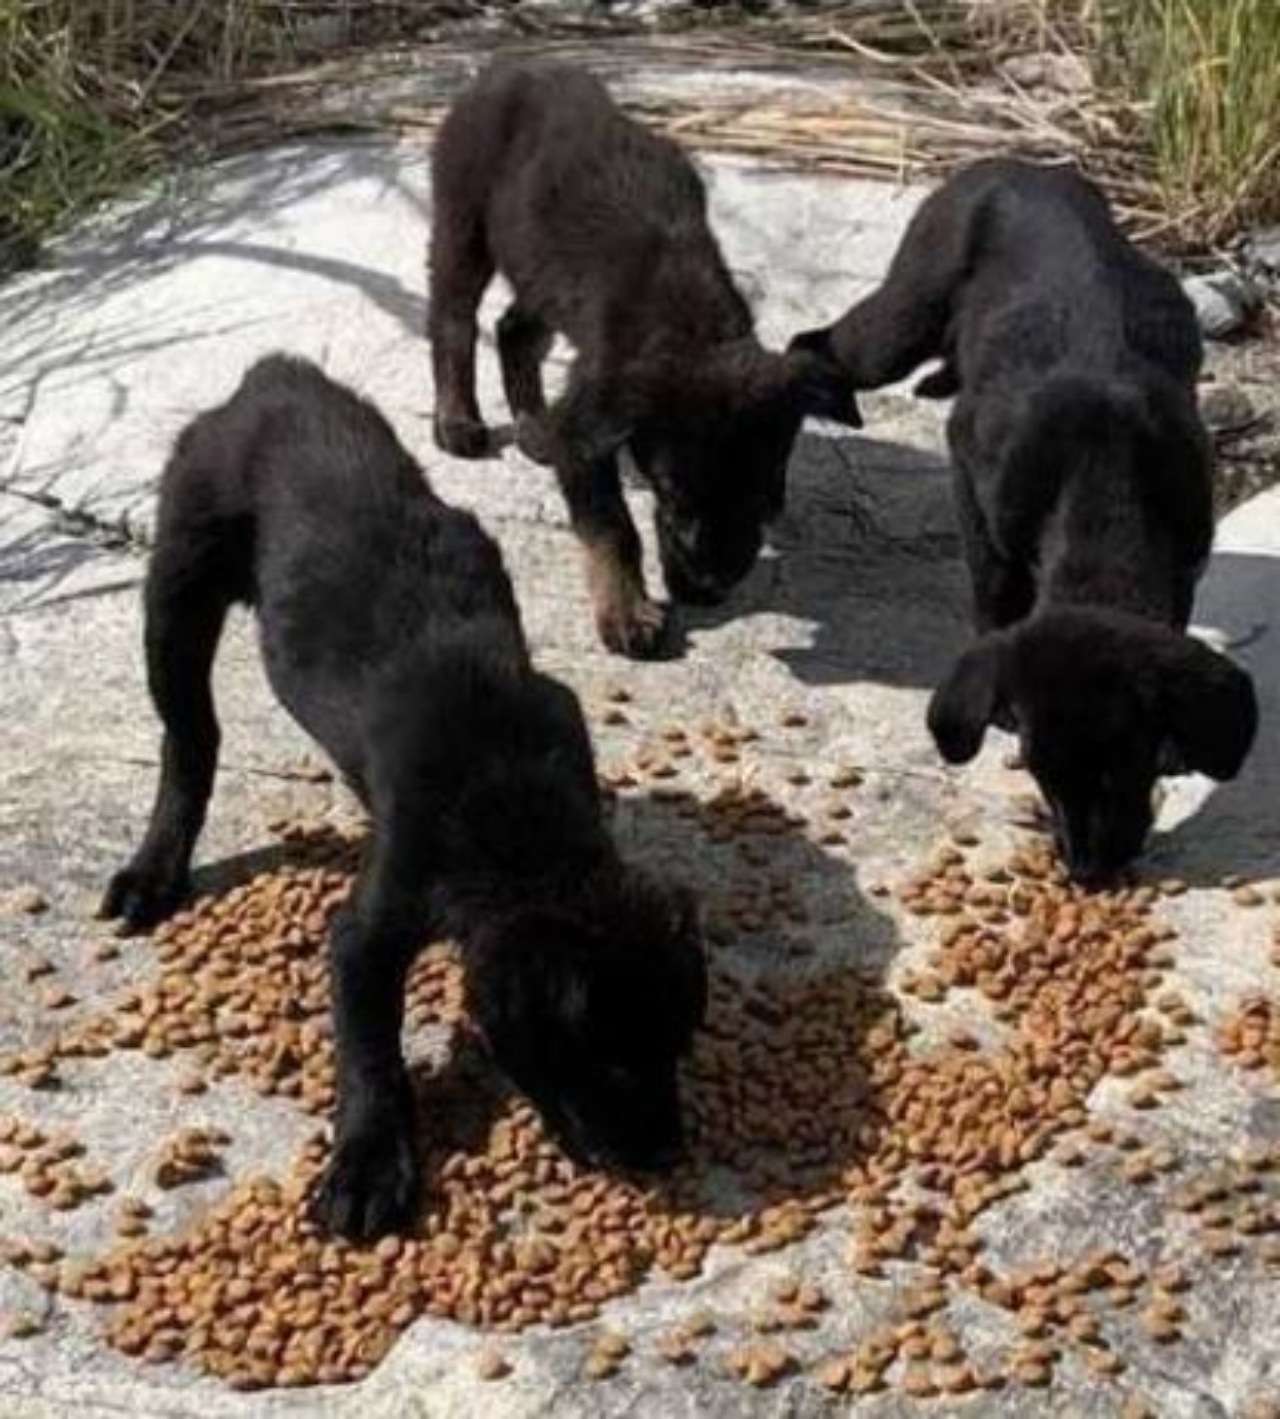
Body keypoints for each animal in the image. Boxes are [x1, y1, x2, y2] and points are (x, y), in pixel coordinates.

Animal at [104, 357, 712, 1243]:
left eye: (677, 1042)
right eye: (608, 1055)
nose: (667, 1155)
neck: (525, 824)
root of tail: (271, 377)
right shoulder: (373, 920)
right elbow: (370, 1051)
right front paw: (369, 1165)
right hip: (178, 579)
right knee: (190, 737)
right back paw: (153, 870)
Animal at [428, 59, 862, 658]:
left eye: (766, 494)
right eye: (671, 495)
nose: (705, 591)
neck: (691, 328)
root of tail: (507, 67)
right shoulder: (593, 422)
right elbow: (613, 527)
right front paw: (627, 612)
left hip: (543, 275)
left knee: (515, 332)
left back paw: (536, 428)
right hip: (463, 219)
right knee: (453, 320)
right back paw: (456, 421)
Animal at [794, 161, 1260, 879]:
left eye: (1134, 763)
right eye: (1042, 773)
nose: (1089, 871)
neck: (1103, 475)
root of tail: (1011, 165)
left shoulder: (1186, 557)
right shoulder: (970, 470)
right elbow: (995, 591)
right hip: (902, 318)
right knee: (820, 344)